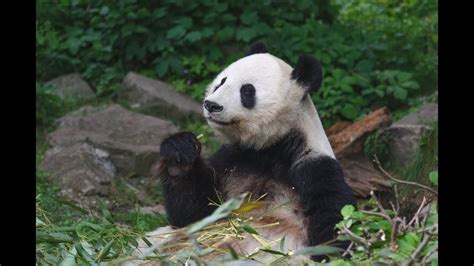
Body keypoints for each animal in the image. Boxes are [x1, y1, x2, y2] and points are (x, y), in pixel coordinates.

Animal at [154, 42, 354, 262]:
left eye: (247, 91)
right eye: (221, 82)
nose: (211, 105)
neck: (270, 148)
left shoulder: (313, 167)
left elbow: (334, 220)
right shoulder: (232, 159)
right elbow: (194, 213)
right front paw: (179, 154)